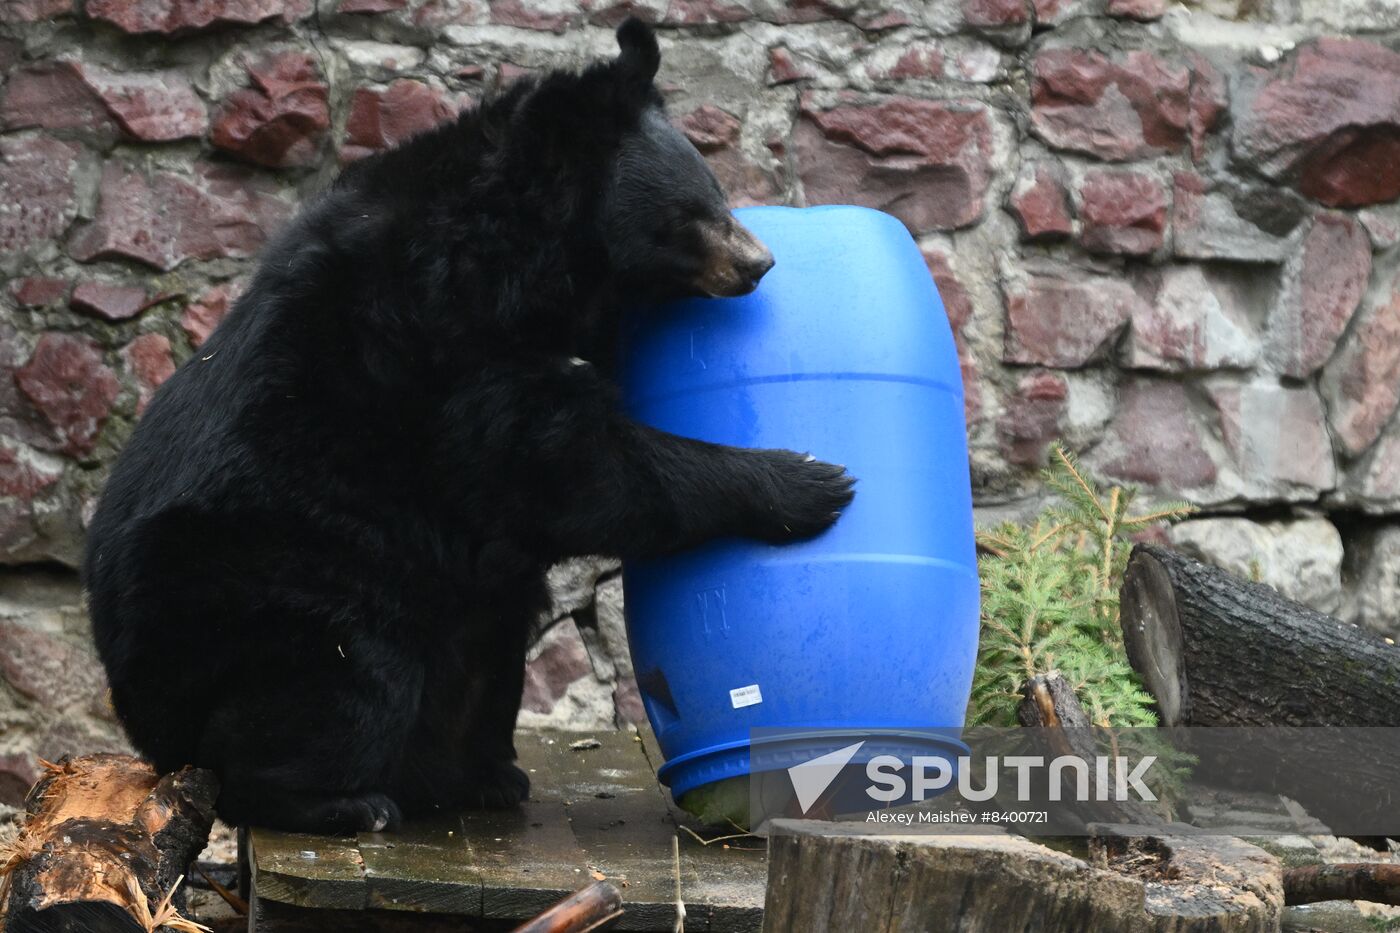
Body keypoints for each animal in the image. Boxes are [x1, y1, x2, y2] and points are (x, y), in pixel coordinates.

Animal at [87, 18, 856, 829]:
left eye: (718, 195)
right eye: (693, 211)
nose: (760, 263)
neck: (540, 255)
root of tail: (146, 719)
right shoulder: (448, 346)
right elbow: (570, 471)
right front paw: (811, 481)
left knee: (486, 654)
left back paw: (479, 777)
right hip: (280, 585)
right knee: (341, 683)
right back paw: (346, 800)